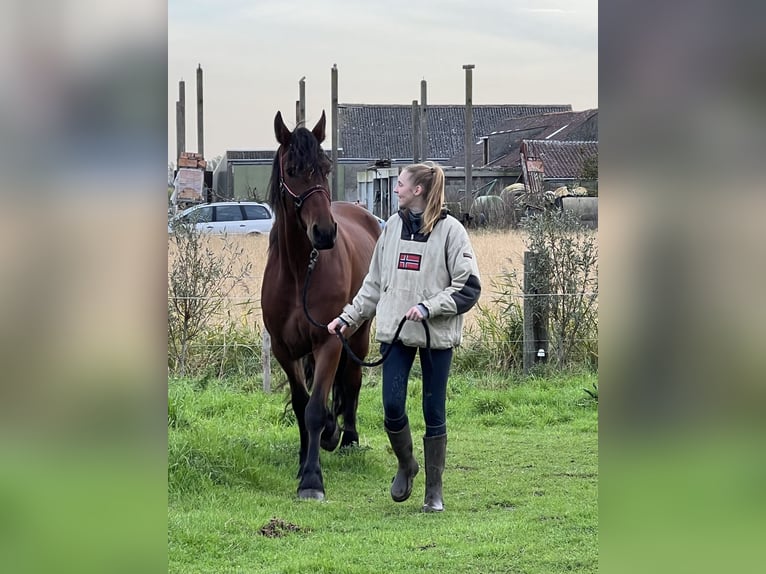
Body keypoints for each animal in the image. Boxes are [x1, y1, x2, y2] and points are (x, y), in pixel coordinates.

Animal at [262, 111, 382, 500]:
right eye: (292, 169)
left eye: (326, 168)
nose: (325, 233)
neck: (301, 271)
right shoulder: (284, 349)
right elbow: (302, 404)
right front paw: (304, 461)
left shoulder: (330, 340)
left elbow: (316, 407)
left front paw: (313, 479)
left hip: (358, 335)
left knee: (353, 381)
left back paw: (348, 439)